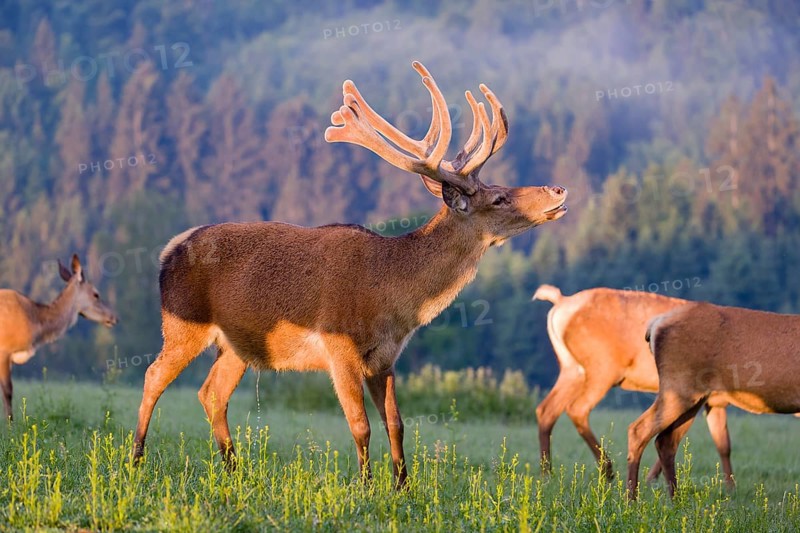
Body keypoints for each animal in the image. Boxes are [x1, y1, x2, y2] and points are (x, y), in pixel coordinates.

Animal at [0, 254, 118, 419]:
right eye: (96, 294)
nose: (114, 317)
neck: (35, 324)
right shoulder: (4, 349)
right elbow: (8, 391)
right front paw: (10, 423)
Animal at [131, 61, 568, 487]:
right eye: (499, 198)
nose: (559, 190)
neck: (394, 298)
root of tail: (169, 251)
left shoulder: (385, 358)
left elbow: (397, 424)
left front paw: (402, 487)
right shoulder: (337, 345)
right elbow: (360, 425)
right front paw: (366, 487)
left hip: (238, 344)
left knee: (212, 393)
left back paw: (234, 471)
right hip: (183, 323)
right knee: (154, 376)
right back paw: (136, 459)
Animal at [533, 285, 734, 485]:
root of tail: (561, 302)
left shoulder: (714, 400)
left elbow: (723, 444)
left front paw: (730, 487)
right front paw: (651, 479)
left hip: (571, 369)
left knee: (546, 409)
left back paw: (546, 473)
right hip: (602, 367)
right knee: (577, 408)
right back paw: (607, 470)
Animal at [626, 301, 800, 500]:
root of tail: (655, 325)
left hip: (694, 397)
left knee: (665, 441)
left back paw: (675, 500)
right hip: (679, 386)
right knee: (639, 429)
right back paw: (632, 500)